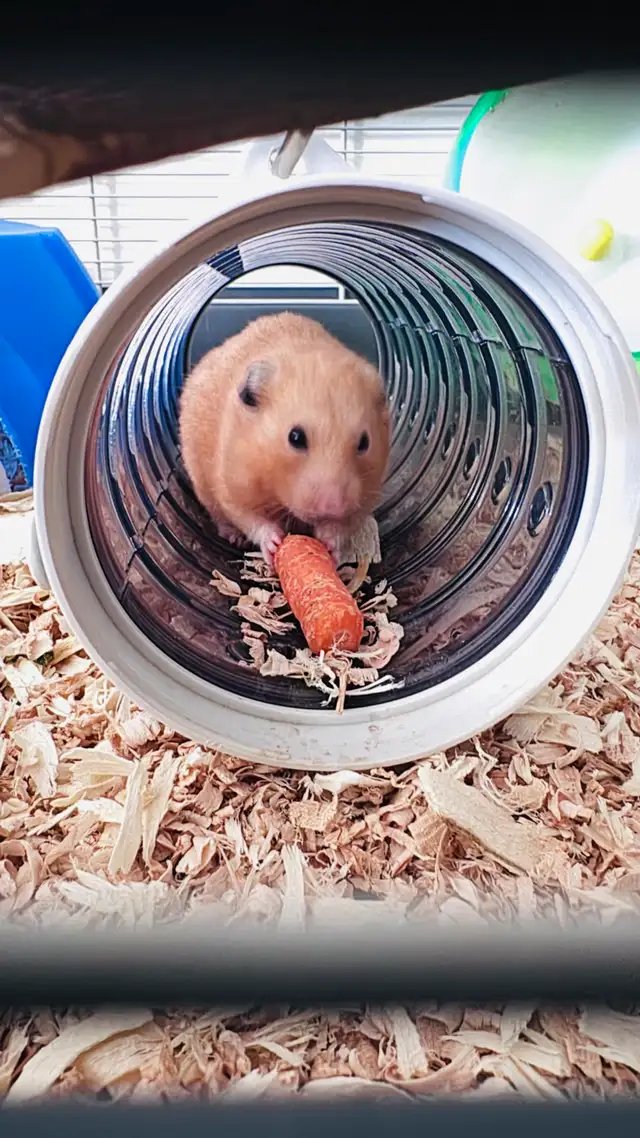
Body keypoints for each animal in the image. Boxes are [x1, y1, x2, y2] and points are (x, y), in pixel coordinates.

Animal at [179, 311, 390, 566]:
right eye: (295, 437)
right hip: (202, 484)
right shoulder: (232, 484)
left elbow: (341, 526)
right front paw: (275, 542)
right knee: (220, 517)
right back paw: (234, 538)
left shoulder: (365, 496)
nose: (333, 506)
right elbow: (250, 518)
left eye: (364, 442)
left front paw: (329, 544)